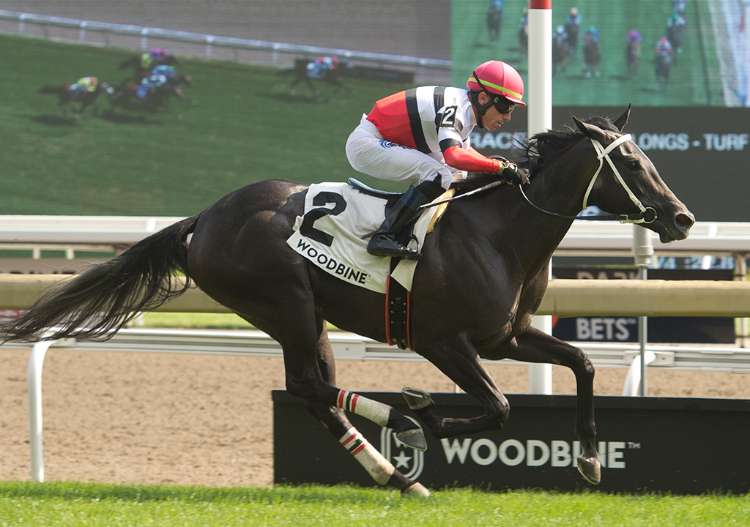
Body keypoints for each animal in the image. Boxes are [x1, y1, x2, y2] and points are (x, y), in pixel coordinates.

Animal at [0, 108, 694, 496]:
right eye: (634, 164)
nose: (682, 217)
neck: (498, 233)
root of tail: (207, 216)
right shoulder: (442, 342)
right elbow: (497, 407)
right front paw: (430, 417)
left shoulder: (506, 337)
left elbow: (582, 364)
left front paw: (589, 460)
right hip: (285, 305)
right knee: (308, 387)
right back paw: (401, 431)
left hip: (305, 318)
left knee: (314, 391)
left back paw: (395, 471)